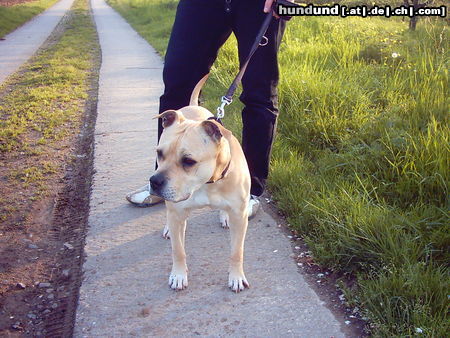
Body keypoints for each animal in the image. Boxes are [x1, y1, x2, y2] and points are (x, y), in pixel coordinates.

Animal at [150, 75, 250, 292]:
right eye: (159, 153)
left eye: (188, 161)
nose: (154, 181)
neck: (207, 183)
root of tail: (193, 106)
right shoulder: (177, 211)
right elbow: (178, 251)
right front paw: (179, 275)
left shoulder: (240, 216)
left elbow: (236, 252)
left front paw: (236, 276)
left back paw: (224, 216)